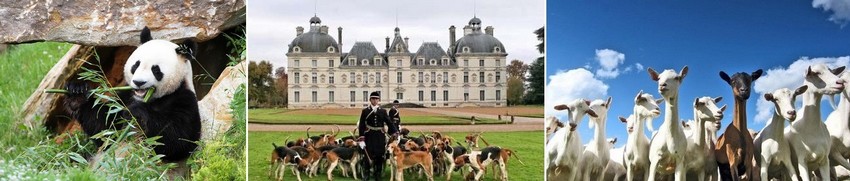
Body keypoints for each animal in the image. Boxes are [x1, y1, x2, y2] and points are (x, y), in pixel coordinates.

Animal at [63, 26, 202, 161]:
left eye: (156, 70)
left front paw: (137, 112)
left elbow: (177, 140)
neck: (150, 99)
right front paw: (77, 94)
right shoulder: (125, 97)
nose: (139, 82)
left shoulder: (183, 99)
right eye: (136, 65)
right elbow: (105, 129)